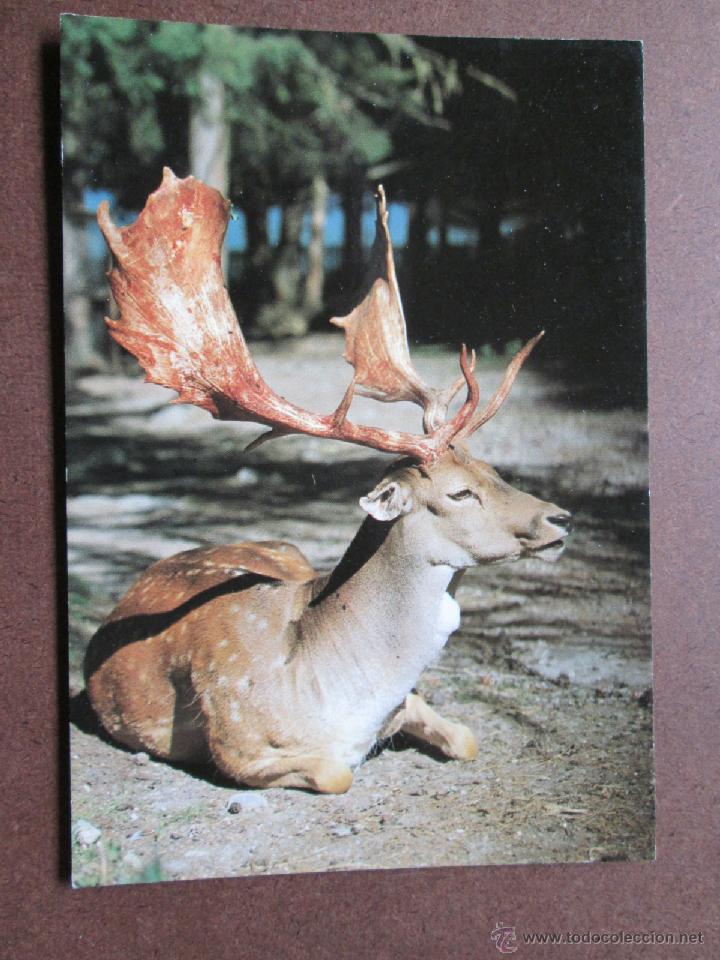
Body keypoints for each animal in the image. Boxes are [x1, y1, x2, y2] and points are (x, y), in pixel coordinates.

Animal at [83, 168, 571, 794]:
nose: (560, 518)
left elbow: (466, 738)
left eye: (492, 469)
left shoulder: (407, 704)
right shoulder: (237, 748)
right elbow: (335, 773)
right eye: (458, 492)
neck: (341, 694)